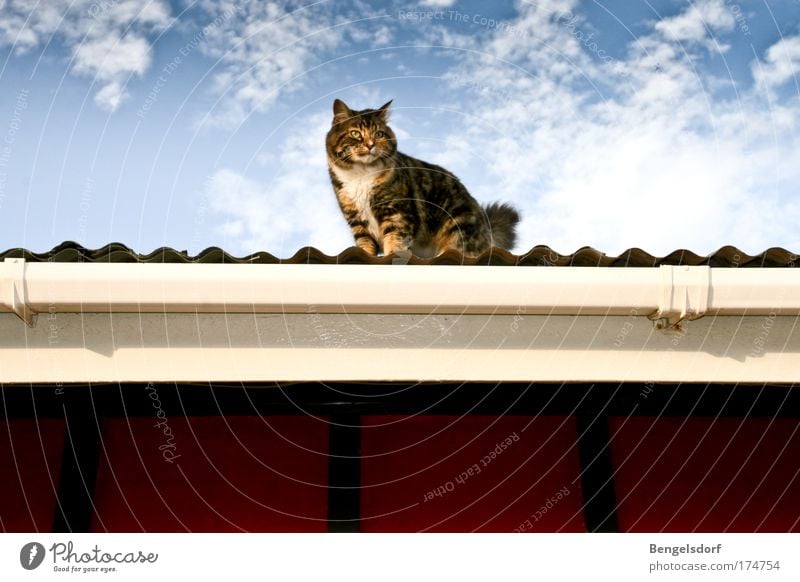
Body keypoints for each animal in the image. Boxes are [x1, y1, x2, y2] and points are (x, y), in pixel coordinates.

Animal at [324, 99, 520, 258]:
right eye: (355, 134)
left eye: (379, 134)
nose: (370, 145)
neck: (362, 175)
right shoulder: (358, 223)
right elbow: (365, 248)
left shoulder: (397, 216)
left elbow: (394, 244)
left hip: (458, 233)